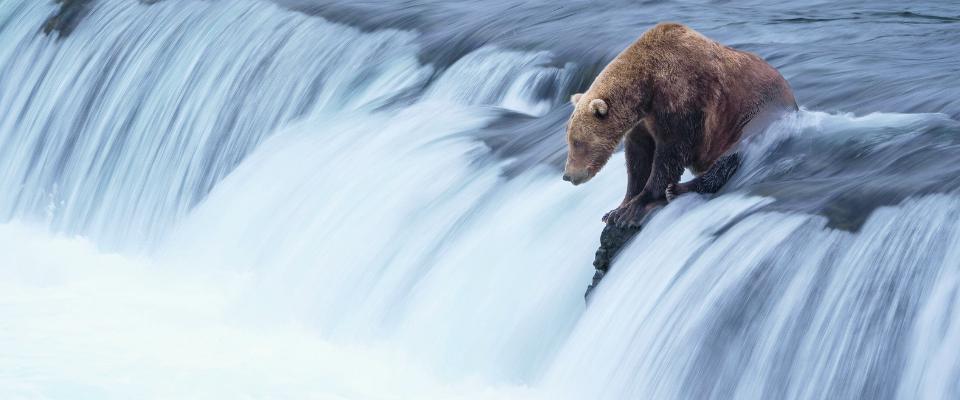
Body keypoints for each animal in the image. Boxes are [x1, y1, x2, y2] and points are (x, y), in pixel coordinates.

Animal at [562, 22, 797, 227]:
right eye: (569, 141)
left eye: (578, 142)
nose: (568, 175)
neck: (648, 87)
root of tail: (792, 96)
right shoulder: (643, 123)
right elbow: (638, 159)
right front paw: (616, 209)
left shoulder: (683, 102)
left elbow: (670, 154)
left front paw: (632, 210)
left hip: (751, 120)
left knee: (729, 160)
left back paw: (677, 189)